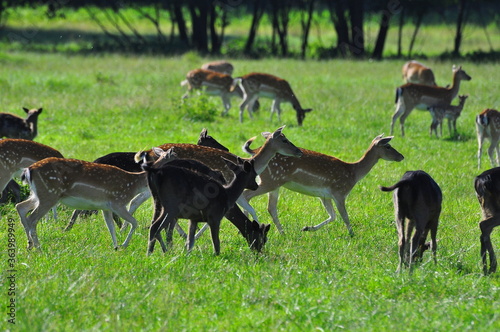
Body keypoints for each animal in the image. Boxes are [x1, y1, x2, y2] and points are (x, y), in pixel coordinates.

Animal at [241, 134, 402, 235]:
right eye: (388, 146)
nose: (401, 156)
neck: (353, 173)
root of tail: (254, 152)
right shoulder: (339, 192)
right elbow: (344, 216)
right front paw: (352, 235)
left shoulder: (324, 196)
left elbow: (333, 216)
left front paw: (306, 228)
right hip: (270, 180)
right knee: (246, 195)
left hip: (274, 183)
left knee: (271, 207)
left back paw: (281, 232)